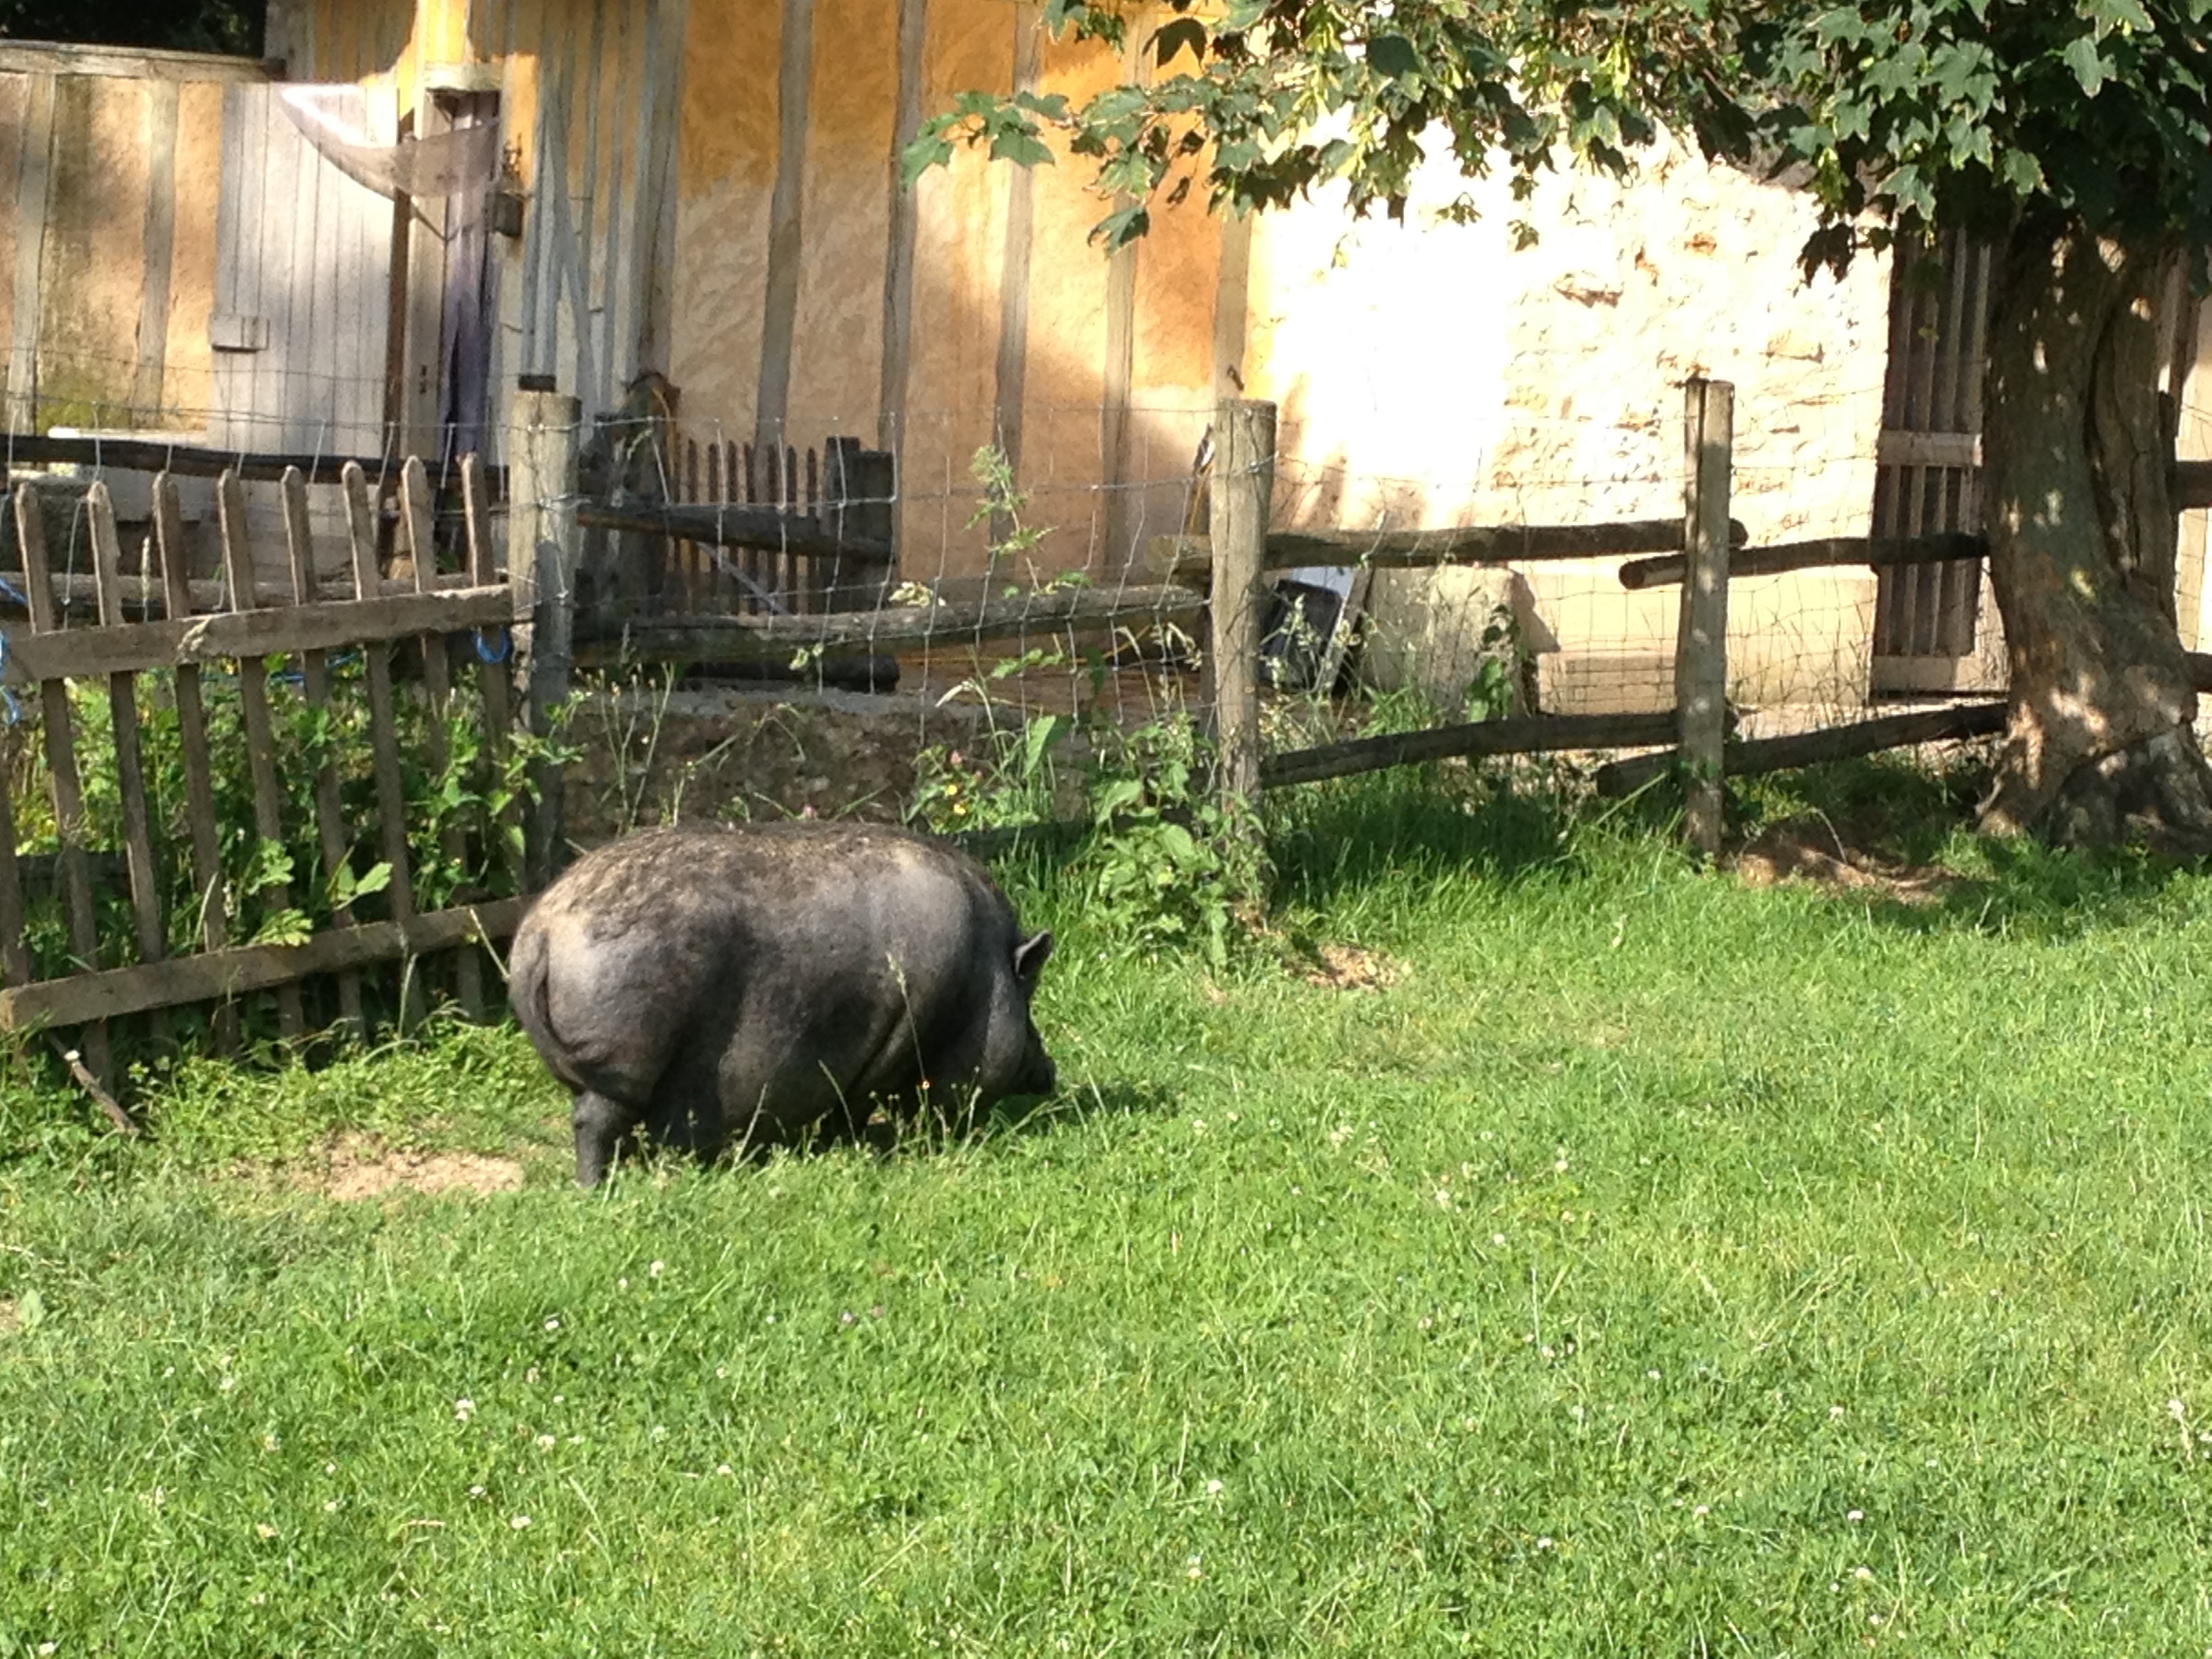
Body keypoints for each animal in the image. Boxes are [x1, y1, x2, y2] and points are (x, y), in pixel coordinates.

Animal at [508, 822, 1057, 1187]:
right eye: (1028, 1002)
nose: (1050, 1071)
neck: (980, 975)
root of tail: (544, 930)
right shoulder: (891, 1046)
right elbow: (856, 1104)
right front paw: (858, 1146)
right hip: (628, 1050)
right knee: (592, 1122)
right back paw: (595, 1187)